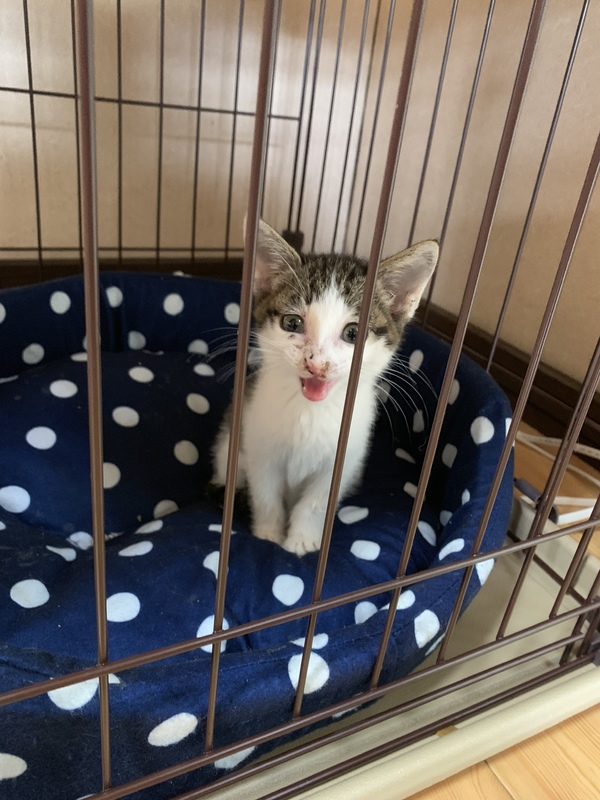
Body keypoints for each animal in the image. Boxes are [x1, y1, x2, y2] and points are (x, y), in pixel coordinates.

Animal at [210, 220, 439, 556]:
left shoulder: (342, 460)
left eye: (353, 333)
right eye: (292, 323)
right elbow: (266, 495)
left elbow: (315, 504)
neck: (311, 411)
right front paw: (268, 535)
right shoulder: (259, 447)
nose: (317, 364)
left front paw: (301, 541)